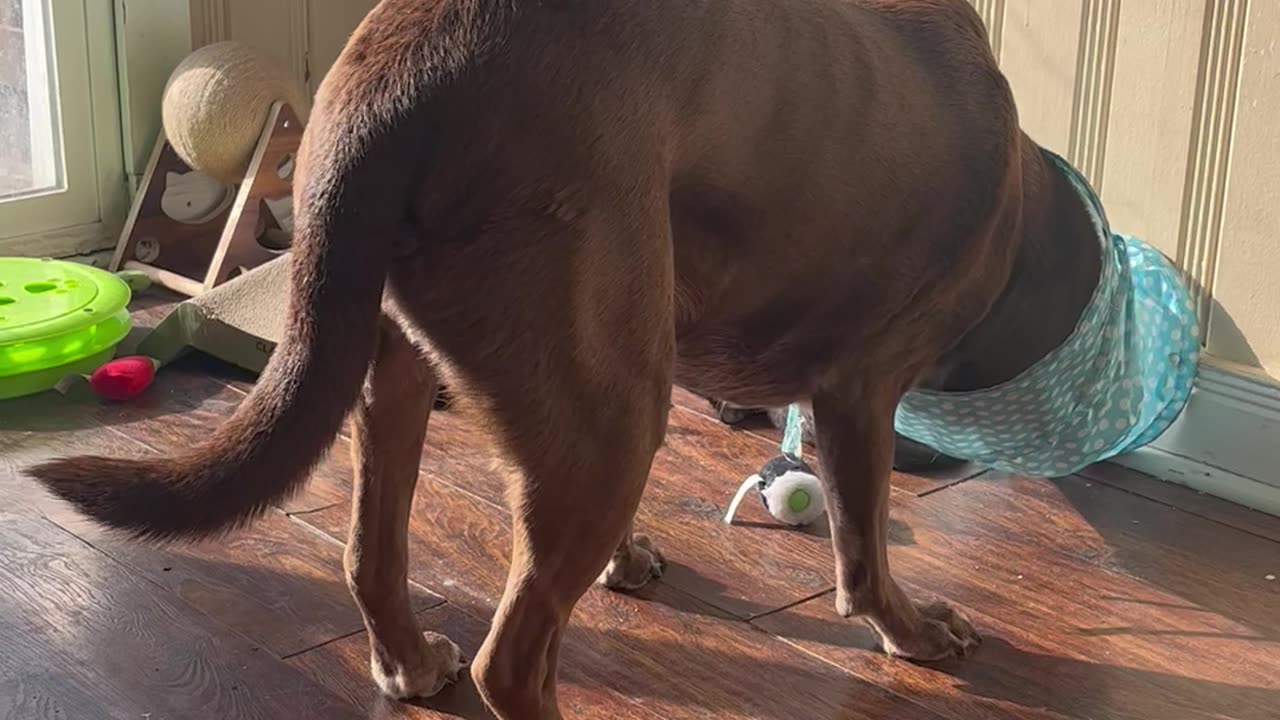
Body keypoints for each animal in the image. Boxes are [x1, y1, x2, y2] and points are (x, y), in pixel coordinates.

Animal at [32, 2, 1100, 712]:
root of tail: (390, 79)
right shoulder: (861, 388)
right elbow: (867, 547)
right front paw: (914, 634)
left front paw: (632, 558)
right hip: (615, 414)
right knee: (512, 660)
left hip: (405, 370)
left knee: (371, 556)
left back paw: (412, 661)